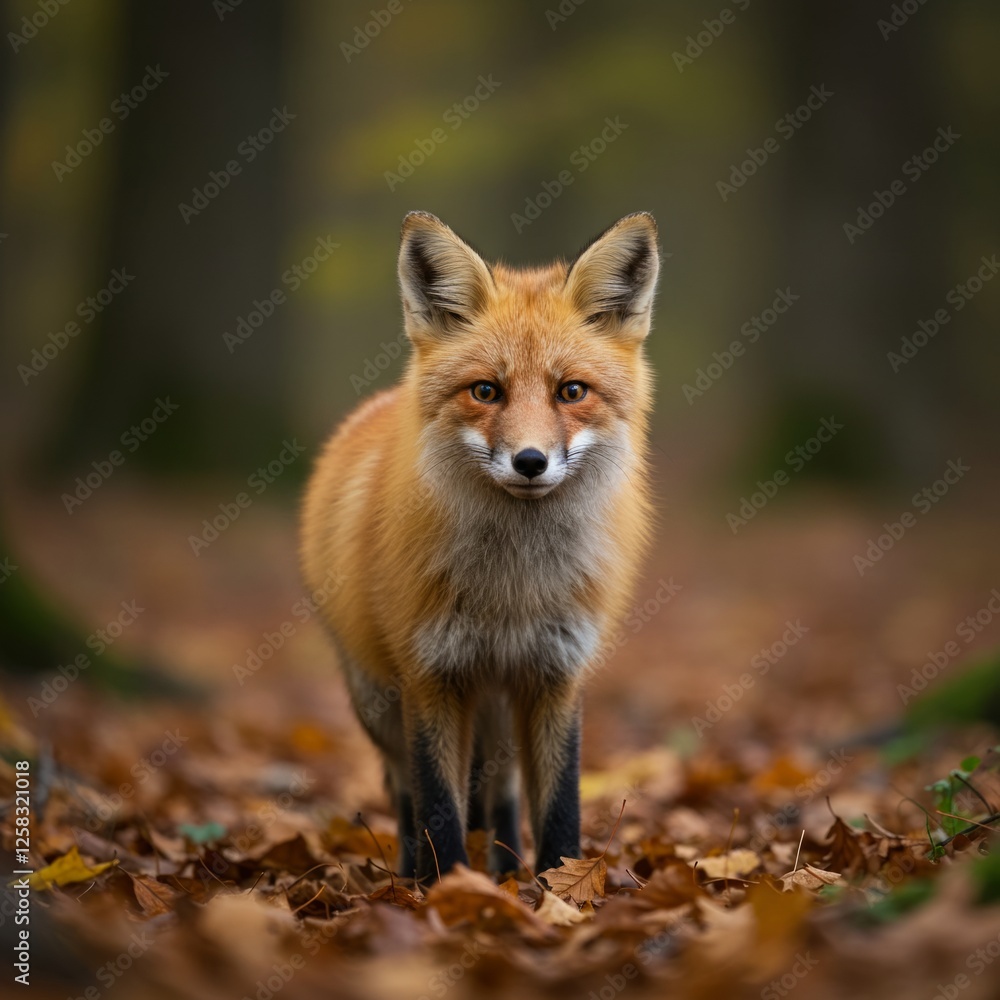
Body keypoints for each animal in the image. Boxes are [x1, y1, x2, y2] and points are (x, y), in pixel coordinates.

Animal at [299, 210, 659, 883]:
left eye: (571, 392)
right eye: (486, 391)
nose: (530, 461)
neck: (511, 591)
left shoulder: (556, 673)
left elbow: (561, 804)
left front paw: (557, 884)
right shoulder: (430, 674)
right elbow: (438, 805)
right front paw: (444, 888)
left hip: (499, 703)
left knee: (503, 791)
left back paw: (507, 868)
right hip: (378, 701)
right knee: (406, 792)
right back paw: (415, 871)